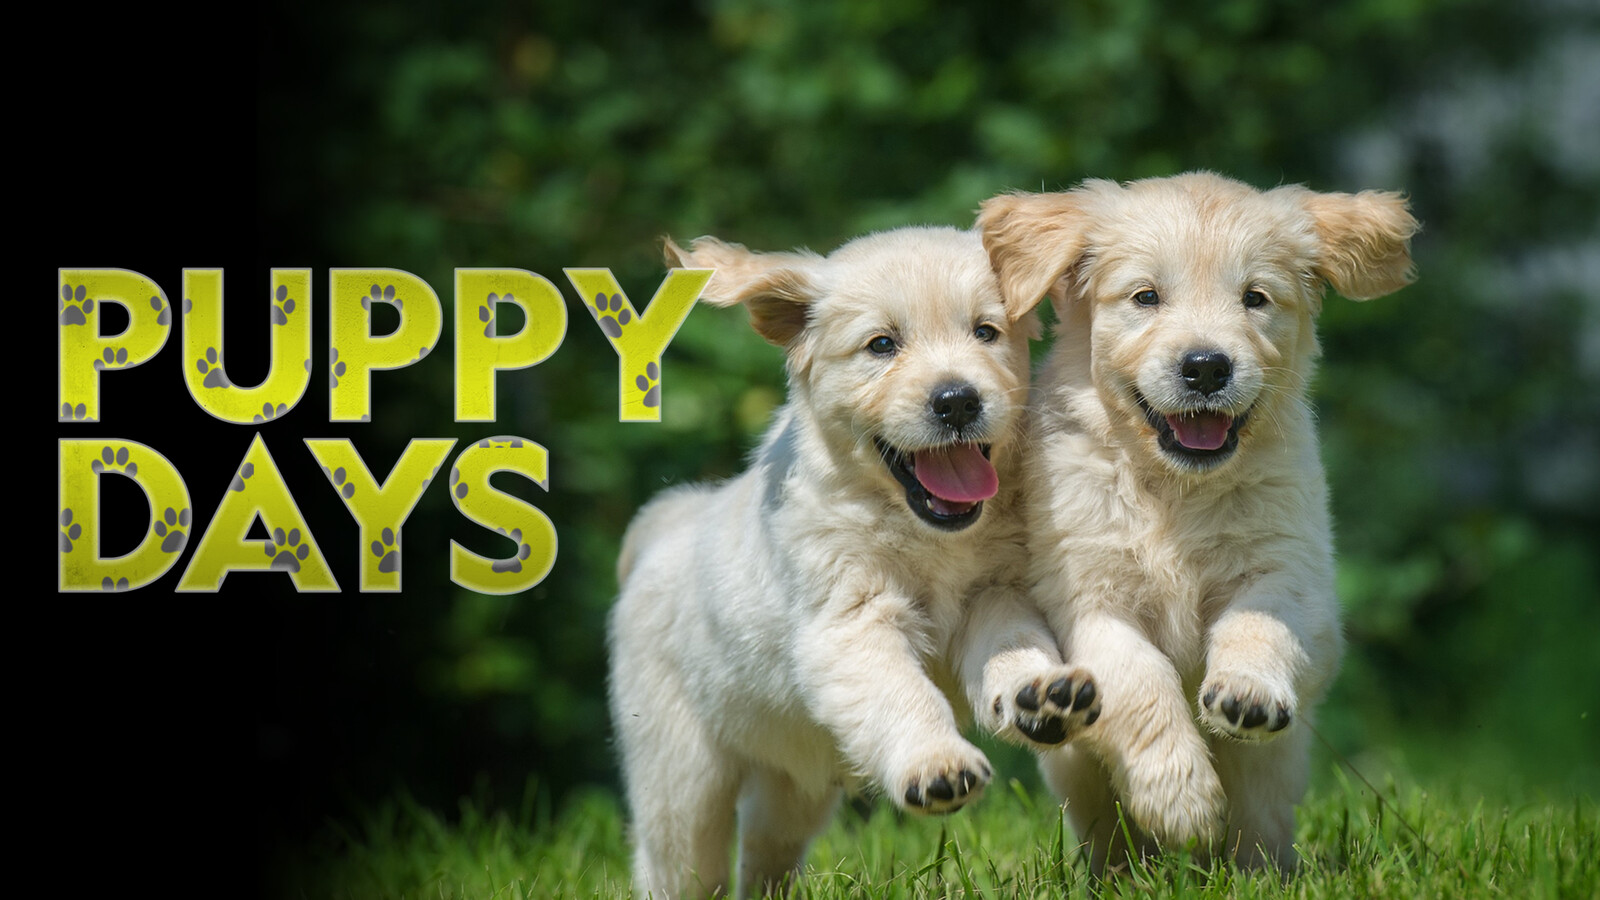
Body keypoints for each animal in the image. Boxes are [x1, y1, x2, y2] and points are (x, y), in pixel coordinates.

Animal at [604, 227, 1107, 890]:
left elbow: (1013, 644)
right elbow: (903, 693)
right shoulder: (850, 622)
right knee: (679, 862)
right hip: (681, 777)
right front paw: (935, 762)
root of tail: (668, 526)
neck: (923, 529)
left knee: (766, 848)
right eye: (882, 345)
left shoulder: (996, 592)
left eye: (986, 332)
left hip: (794, 781)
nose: (958, 401)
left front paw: (1040, 693)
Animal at [979, 171, 1420, 864]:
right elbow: (1140, 679)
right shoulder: (1084, 598)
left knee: (1260, 829)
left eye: (1255, 298)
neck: (1176, 489)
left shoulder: (1292, 574)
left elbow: (1258, 623)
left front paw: (1248, 693)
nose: (1207, 366)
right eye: (1146, 297)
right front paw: (1179, 797)